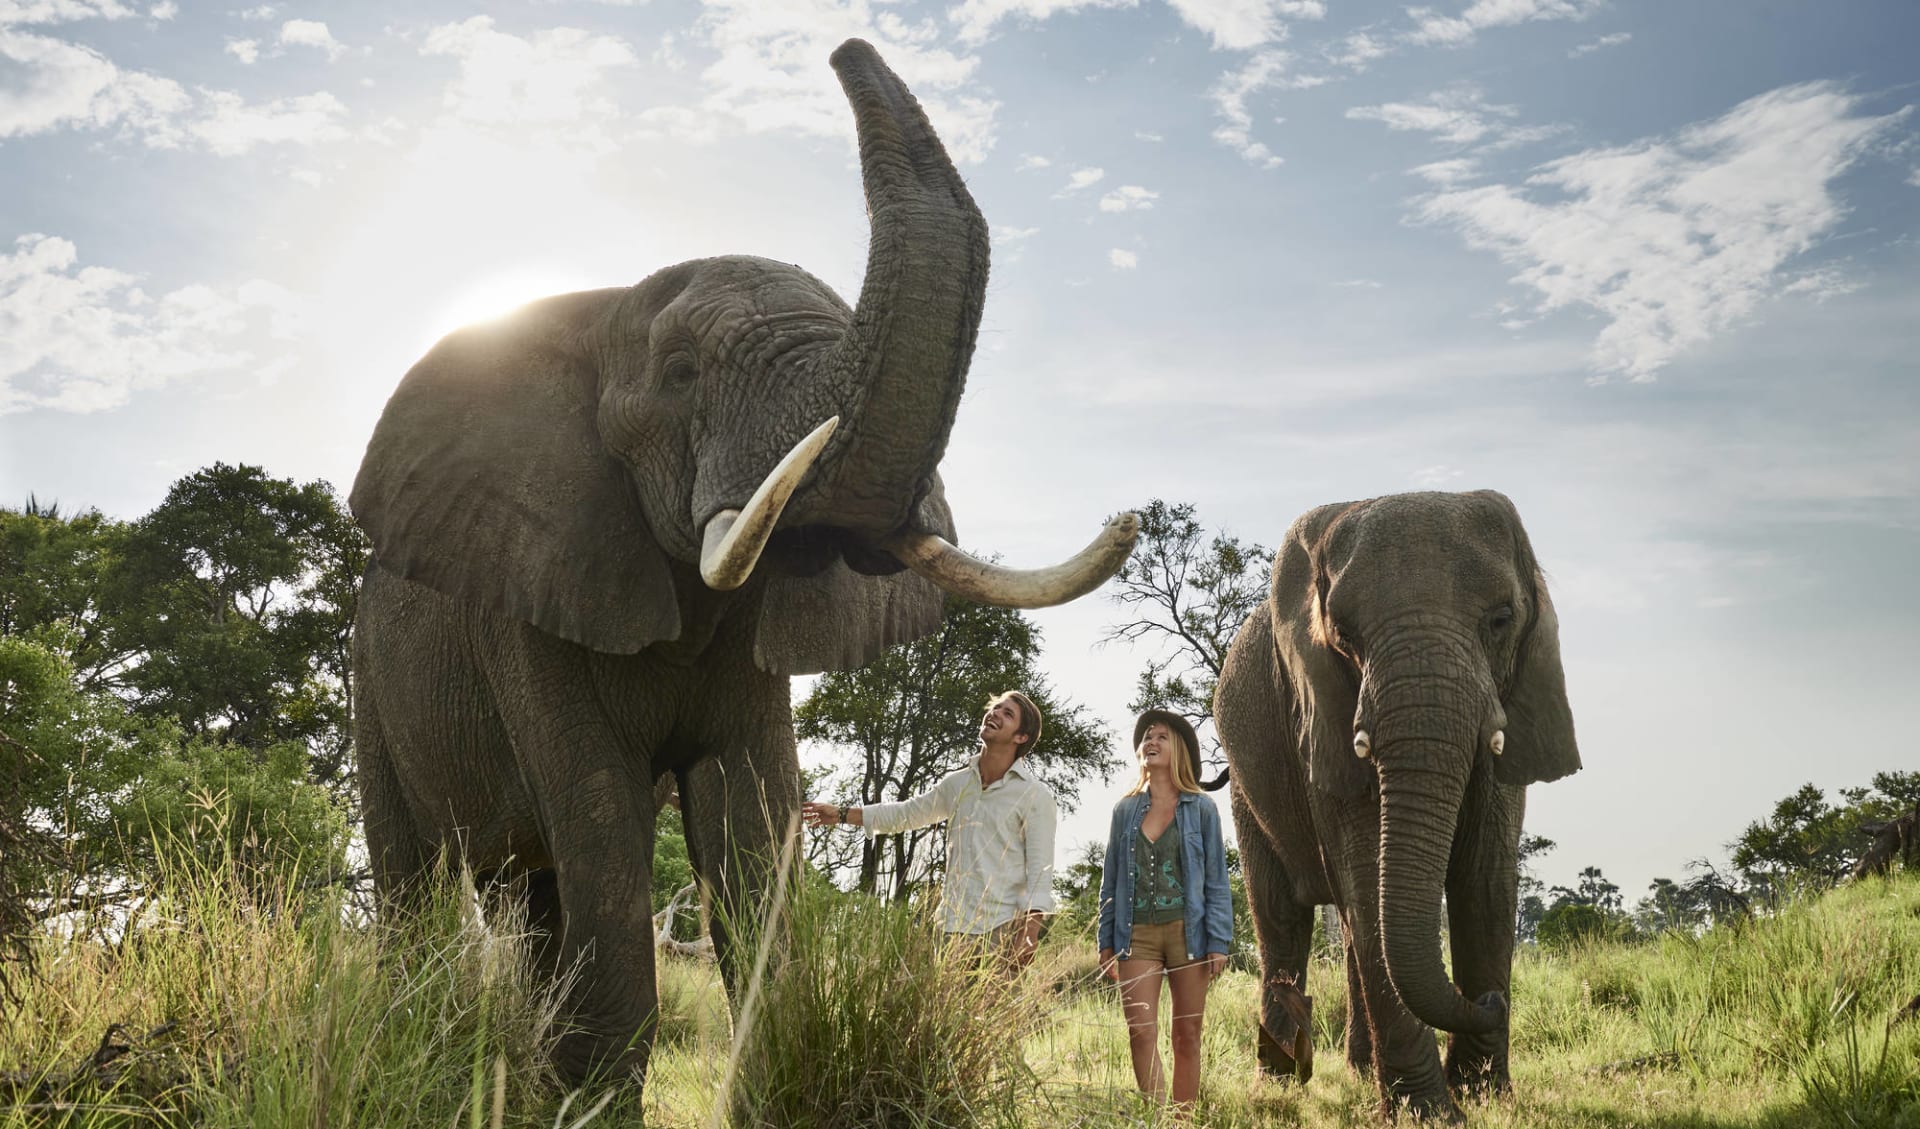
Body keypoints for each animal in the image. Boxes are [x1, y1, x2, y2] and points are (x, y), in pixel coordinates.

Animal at [345, 39, 1128, 1090]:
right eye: (681, 374)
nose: (843, 47)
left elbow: (751, 819)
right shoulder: (529, 605)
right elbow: (603, 820)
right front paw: (590, 1098)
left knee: (535, 891)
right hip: (369, 681)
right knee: (417, 880)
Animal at [1213, 489, 1574, 1113]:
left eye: (1501, 620)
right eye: (1343, 636)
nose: (1492, 1002)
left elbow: (1486, 879)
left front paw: (1484, 1097)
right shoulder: (1321, 716)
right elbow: (1367, 875)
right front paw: (1429, 1113)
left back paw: (1361, 1073)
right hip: (1246, 785)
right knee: (1282, 920)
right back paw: (1278, 1087)